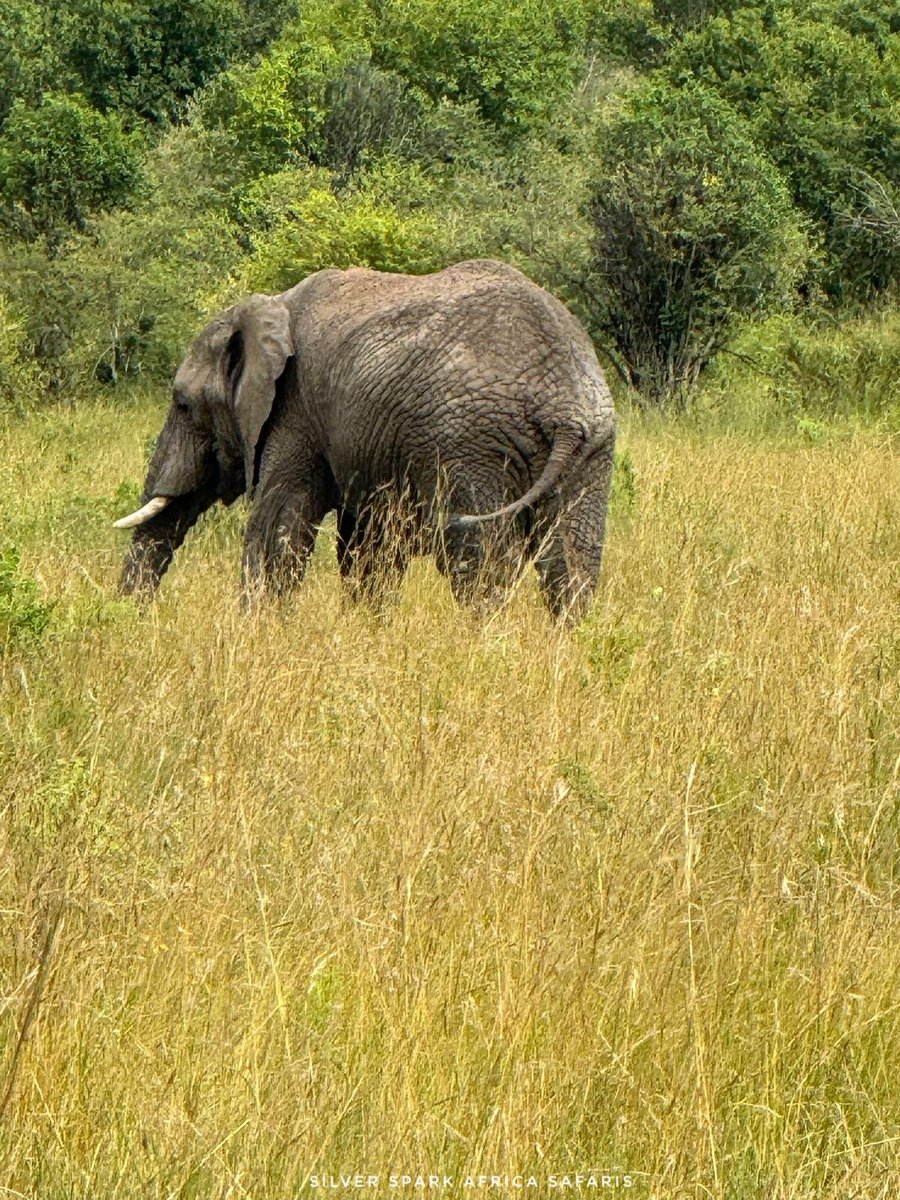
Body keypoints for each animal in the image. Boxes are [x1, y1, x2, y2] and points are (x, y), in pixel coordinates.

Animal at [116, 260, 619, 619]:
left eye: (183, 404)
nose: (132, 619)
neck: (268, 308)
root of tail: (563, 404)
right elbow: (366, 548)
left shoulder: (295, 412)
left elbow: (278, 524)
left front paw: (255, 632)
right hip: (591, 450)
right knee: (572, 563)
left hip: (473, 445)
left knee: (483, 559)